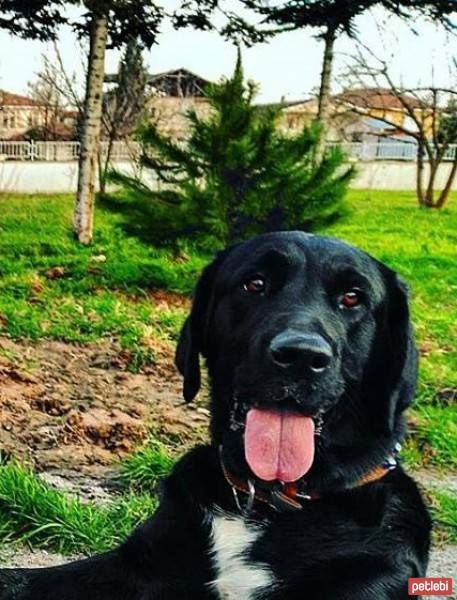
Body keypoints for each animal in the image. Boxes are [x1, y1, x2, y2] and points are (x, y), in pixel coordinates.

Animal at [0, 232, 430, 596]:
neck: (263, 504)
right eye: (254, 284)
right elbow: (20, 579)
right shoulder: (134, 565)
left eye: (353, 298)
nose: (300, 357)